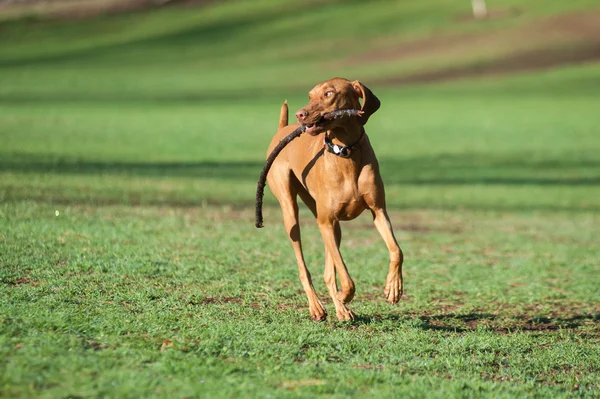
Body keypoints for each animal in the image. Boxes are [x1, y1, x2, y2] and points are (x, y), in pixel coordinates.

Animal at [266, 78, 404, 322]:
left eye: (329, 93)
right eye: (310, 96)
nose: (300, 114)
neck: (346, 152)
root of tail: (282, 129)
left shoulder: (378, 211)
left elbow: (397, 251)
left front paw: (393, 288)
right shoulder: (326, 222)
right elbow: (346, 277)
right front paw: (344, 296)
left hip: (331, 224)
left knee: (328, 272)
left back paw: (341, 309)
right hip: (292, 214)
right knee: (304, 267)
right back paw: (317, 307)